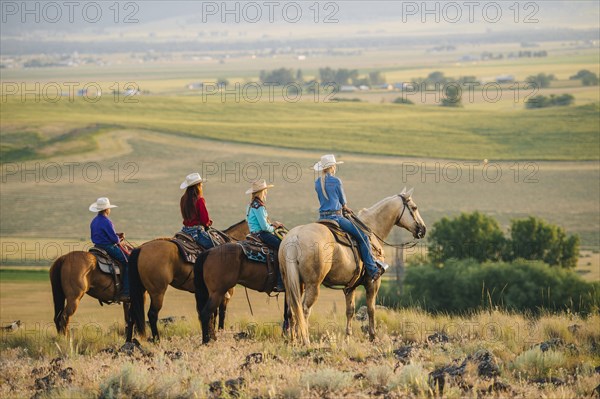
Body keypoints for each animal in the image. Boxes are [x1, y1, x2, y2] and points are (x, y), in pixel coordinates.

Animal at [278, 189, 424, 346]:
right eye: (414, 207)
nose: (423, 229)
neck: (371, 231)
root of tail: (295, 237)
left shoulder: (350, 287)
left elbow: (350, 311)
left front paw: (348, 337)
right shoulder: (373, 283)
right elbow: (371, 309)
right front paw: (373, 336)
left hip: (293, 284)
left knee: (292, 311)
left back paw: (293, 341)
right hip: (313, 285)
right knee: (304, 310)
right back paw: (305, 340)